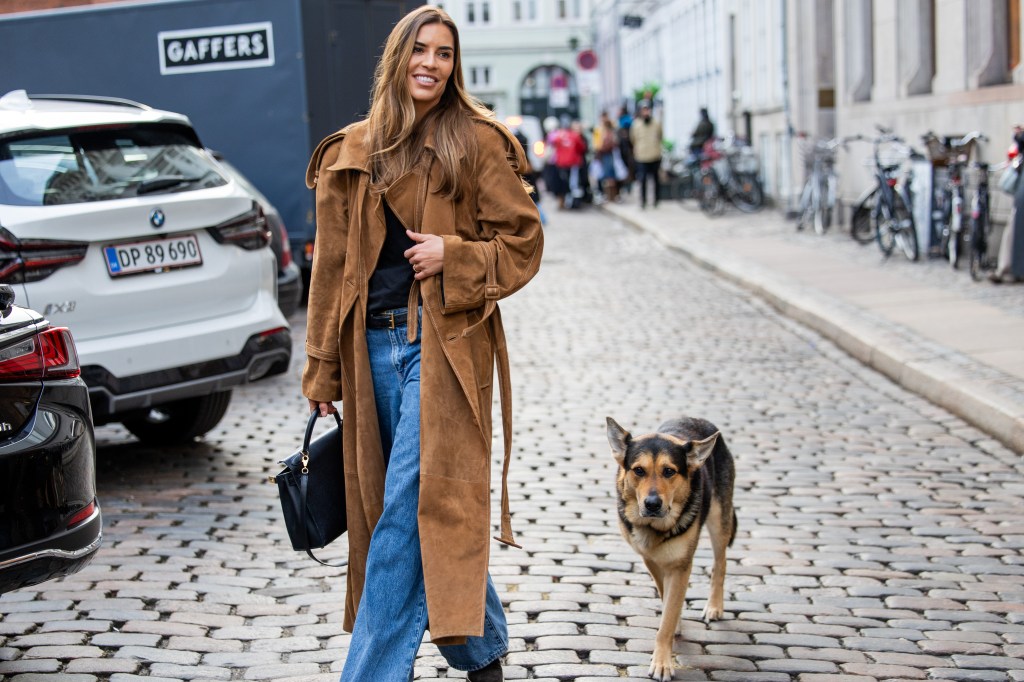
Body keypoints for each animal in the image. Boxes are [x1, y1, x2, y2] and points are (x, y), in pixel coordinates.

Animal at [602, 413, 741, 679]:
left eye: (669, 471)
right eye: (639, 470)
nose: (652, 504)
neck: (656, 526)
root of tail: (696, 418)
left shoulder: (680, 565)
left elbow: (666, 619)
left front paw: (662, 663)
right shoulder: (650, 559)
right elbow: (666, 597)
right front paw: (675, 619)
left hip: (719, 520)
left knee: (720, 563)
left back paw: (714, 606)